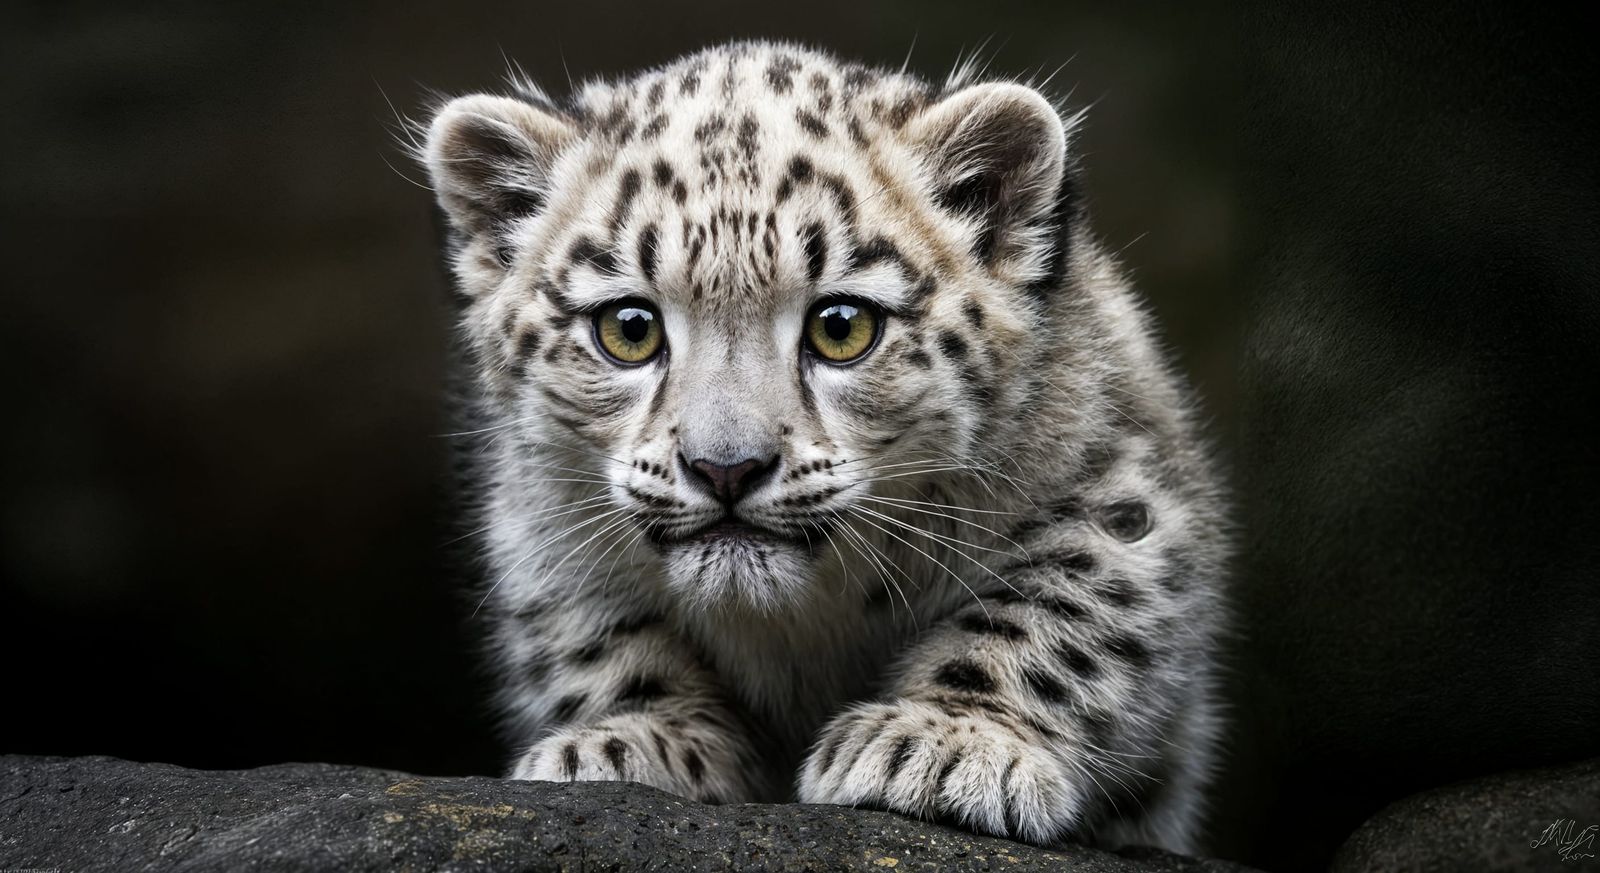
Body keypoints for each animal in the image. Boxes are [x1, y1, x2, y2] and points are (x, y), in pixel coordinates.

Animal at [416, 40, 1228, 853]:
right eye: (629, 328)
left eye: (842, 326)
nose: (726, 468)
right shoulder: (544, 525)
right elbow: (602, 636)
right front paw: (628, 742)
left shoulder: (1118, 496)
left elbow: (1052, 615)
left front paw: (941, 743)